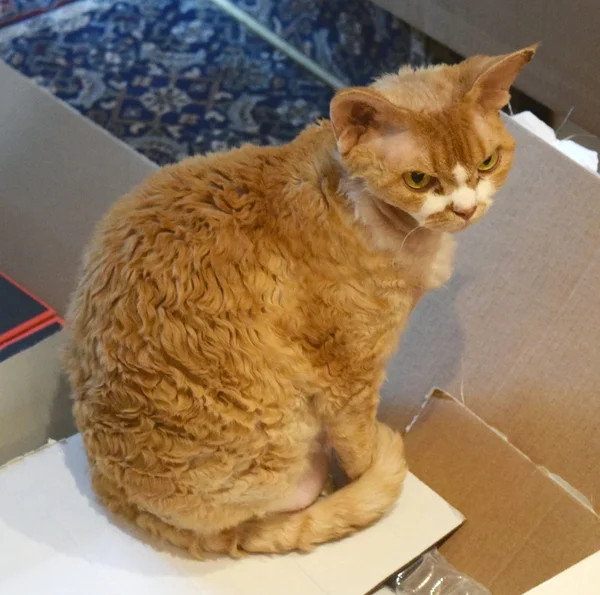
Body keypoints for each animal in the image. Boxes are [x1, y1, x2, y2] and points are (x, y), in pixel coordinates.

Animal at [64, 45, 536, 560]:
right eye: (418, 179)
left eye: (487, 162)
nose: (466, 209)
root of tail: (113, 491)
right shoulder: (349, 378)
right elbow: (360, 450)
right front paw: (365, 480)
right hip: (287, 443)